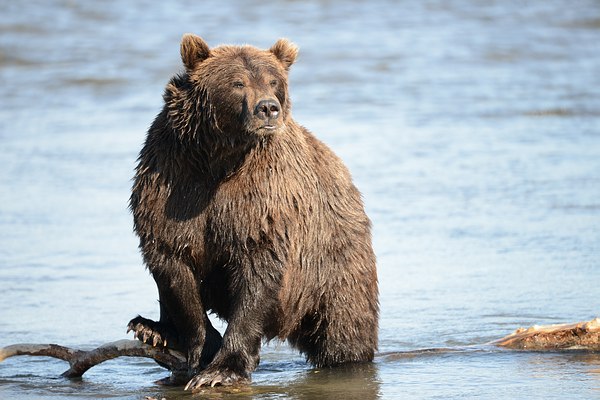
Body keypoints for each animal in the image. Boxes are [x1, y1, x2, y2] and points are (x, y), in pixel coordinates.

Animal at [128, 34, 378, 390]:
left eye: (273, 82)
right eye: (237, 83)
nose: (268, 108)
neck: (219, 158)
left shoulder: (262, 198)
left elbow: (258, 272)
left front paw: (222, 368)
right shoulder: (171, 182)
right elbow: (175, 267)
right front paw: (203, 347)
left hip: (333, 261)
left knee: (343, 326)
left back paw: (346, 358)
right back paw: (152, 329)